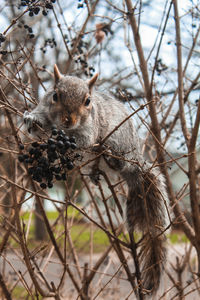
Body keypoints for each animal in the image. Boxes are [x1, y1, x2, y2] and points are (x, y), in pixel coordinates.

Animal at [23, 64, 169, 294]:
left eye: (88, 101)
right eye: (55, 95)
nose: (69, 120)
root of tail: (136, 160)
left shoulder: (89, 132)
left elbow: (83, 139)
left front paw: (57, 135)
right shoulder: (45, 108)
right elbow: (38, 120)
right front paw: (31, 120)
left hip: (120, 143)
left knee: (117, 159)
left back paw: (111, 156)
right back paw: (93, 171)